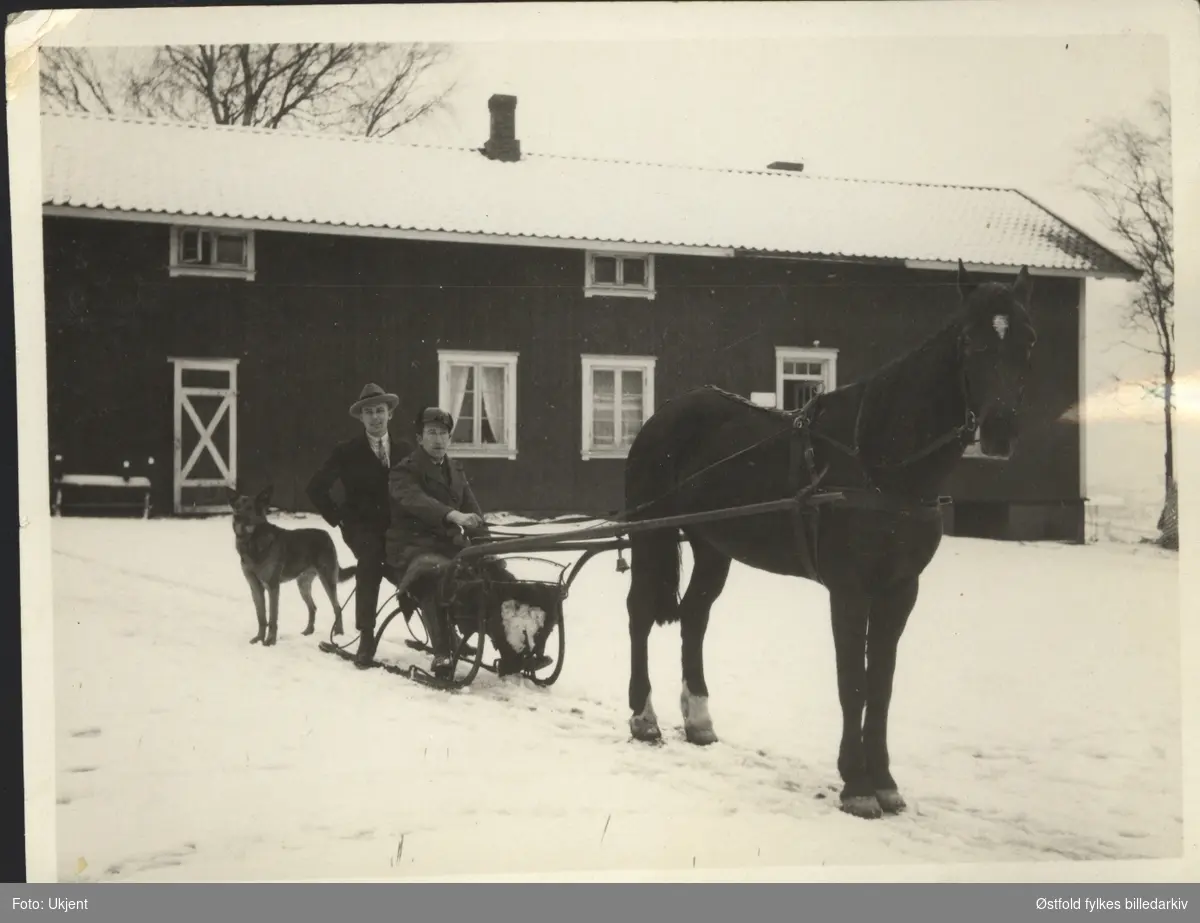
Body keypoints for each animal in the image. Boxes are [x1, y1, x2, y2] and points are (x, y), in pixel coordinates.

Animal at [225, 484, 352, 643]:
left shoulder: (272, 586)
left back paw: (339, 634)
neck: (251, 540)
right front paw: (259, 639)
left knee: (337, 607)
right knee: (313, 607)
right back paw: (308, 631)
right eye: (236, 506)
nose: (236, 516)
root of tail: (326, 535)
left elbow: (272, 618)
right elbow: (261, 617)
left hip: (327, 580)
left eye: (249, 507)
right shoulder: (255, 587)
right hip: (303, 584)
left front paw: (270, 641)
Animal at [624, 262, 1036, 816]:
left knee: (694, 616)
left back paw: (699, 720)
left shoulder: (900, 591)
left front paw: (884, 780)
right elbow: (853, 683)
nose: (998, 429)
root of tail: (662, 415)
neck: (878, 459)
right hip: (650, 536)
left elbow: (881, 685)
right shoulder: (850, 588)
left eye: (1028, 341)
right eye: (969, 341)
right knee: (640, 613)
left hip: (713, 547)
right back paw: (643, 717)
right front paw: (856, 783)